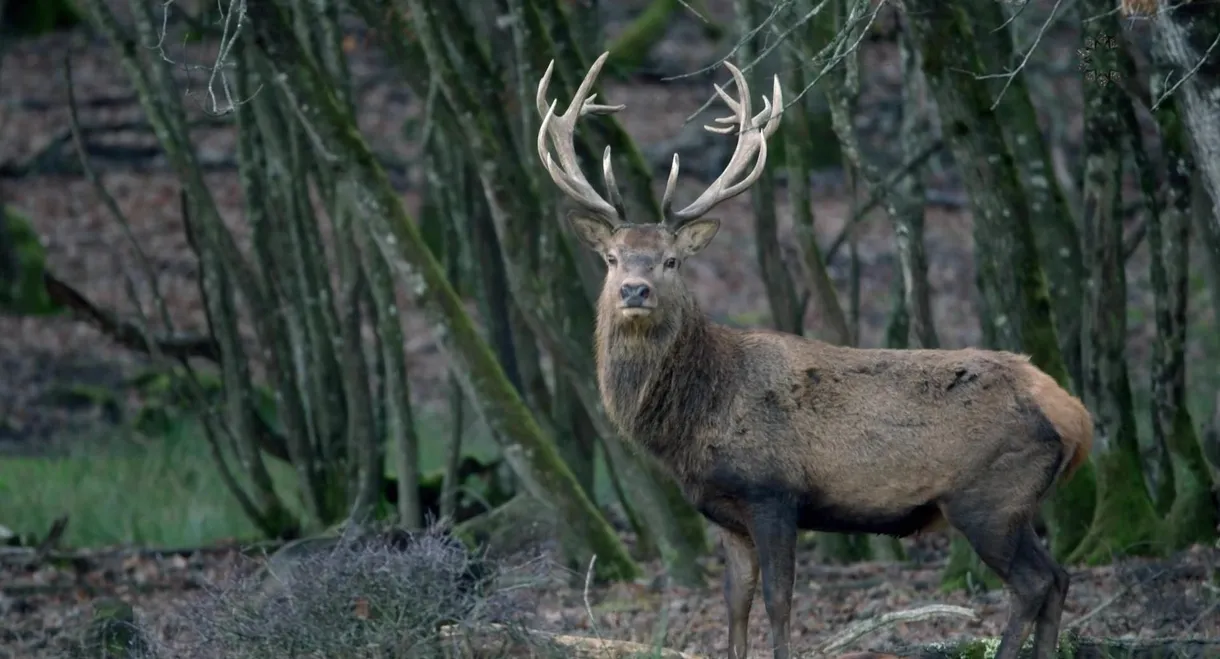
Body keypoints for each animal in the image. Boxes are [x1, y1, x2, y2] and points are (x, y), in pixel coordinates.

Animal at [534, 50, 1098, 659]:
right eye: (613, 257)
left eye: (671, 261)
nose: (634, 290)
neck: (697, 414)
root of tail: (1076, 414)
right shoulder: (726, 512)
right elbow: (735, 604)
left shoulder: (773, 492)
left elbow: (780, 601)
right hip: (1018, 503)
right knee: (1059, 576)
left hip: (990, 495)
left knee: (1034, 582)